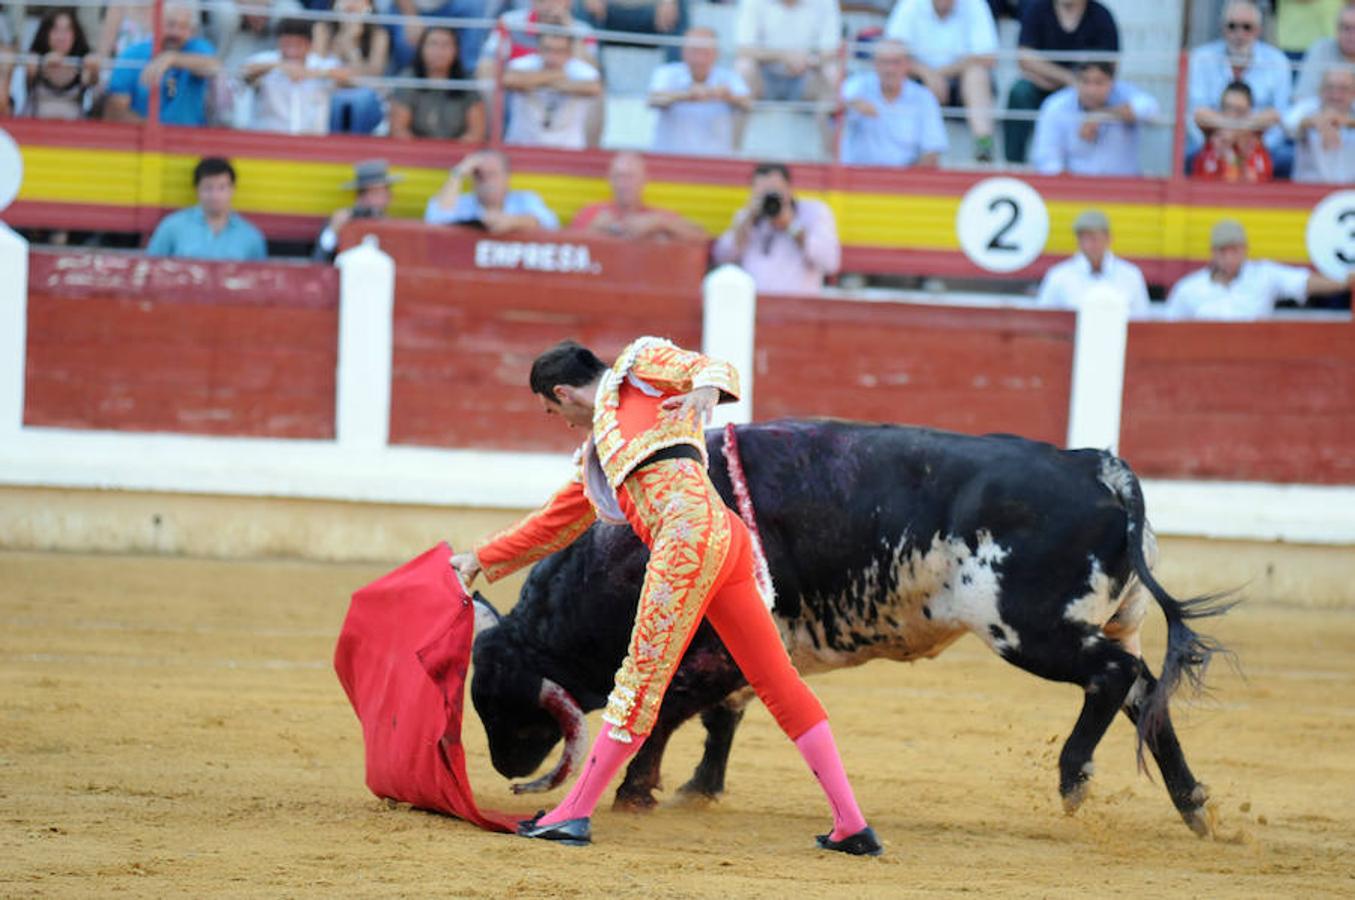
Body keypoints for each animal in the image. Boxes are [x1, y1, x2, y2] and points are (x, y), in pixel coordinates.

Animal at [471, 417, 1235, 834]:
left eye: (504, 707)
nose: (505, 767)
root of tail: (1096, 467)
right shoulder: (742, 650)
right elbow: (723, 715)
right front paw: (698, 788)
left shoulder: (712, 646)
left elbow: (670, 710)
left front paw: (638, 790)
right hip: (1109, 622)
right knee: (1146, 694)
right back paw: (1193, 804)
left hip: (1029, 629)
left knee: (1114, 677)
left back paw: (1075, 777)